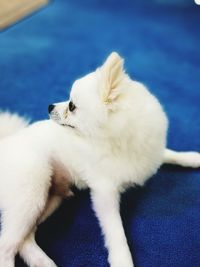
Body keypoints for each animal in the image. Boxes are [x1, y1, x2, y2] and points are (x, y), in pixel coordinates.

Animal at [0, 52, 200, 267]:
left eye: (71, 106)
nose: (49, 106)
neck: (118, 144)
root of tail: (5, 143)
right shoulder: (104, 194)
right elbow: (116, 232)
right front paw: (122, 261)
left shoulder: (151, 152)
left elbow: (171, 154)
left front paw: (193, 157)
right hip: (32, 192)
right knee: (7, 245)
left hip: (50, 199)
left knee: (25, 239)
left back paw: (44, 262)